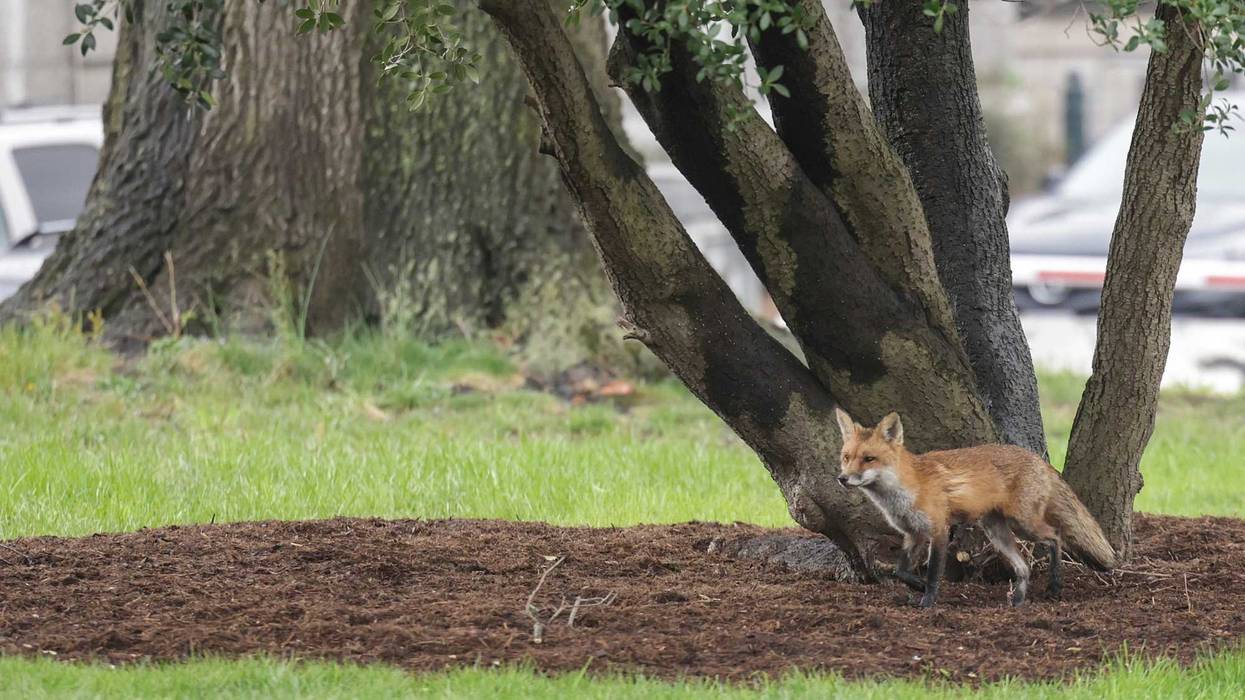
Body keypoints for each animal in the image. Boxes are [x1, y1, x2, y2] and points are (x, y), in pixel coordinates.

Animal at [833, 408, 1116, 608]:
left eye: (869, 459)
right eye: (846, 457)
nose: (842, 478)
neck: (905, 488)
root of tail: (1040, 459)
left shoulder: (939, 530)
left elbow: (934, 572)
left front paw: (927, 602)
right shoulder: (913, 533)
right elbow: (900, 570)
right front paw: (917, 586)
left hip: (1023, 524)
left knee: (1055, 536)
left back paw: (1054, 587)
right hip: (997, 532)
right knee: (1024, 567)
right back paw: (1018, 602)